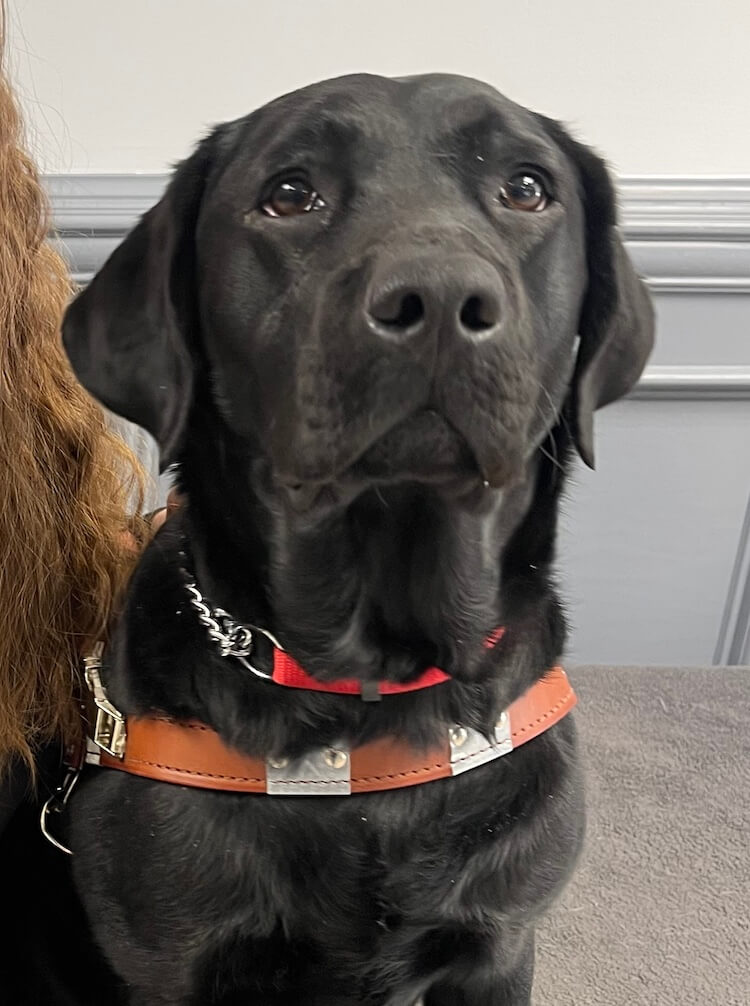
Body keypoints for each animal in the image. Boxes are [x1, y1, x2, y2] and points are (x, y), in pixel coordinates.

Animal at [58, 74, 651, 1001]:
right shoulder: (172, 960)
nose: (438, 298)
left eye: (527, 187)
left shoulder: (499, 942)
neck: (371, 693)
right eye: (290, 194)